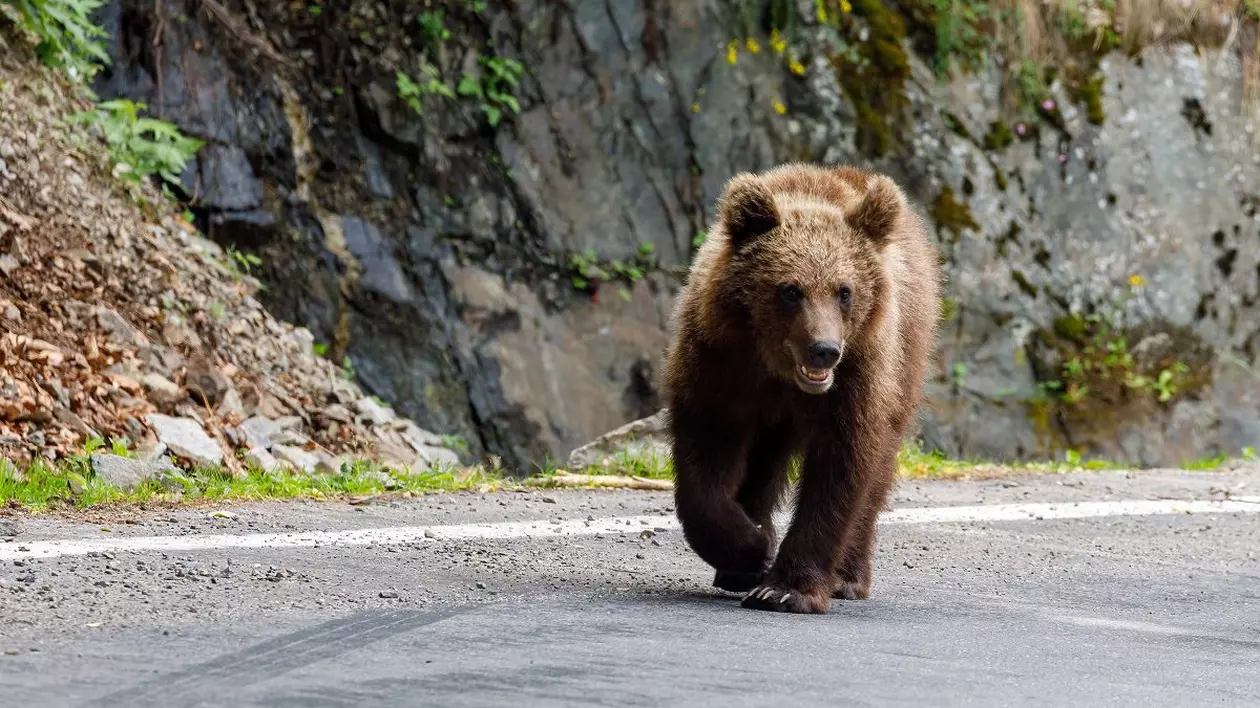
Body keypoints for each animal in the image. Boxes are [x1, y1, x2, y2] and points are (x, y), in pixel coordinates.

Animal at [665, 161, 942, 612]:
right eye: (790, 289)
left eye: (844, 291)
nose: (824, 350)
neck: (778, 370)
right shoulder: (719, 363)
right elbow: (705, 455)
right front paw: (752, 547)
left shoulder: (856, 379)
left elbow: (841, 468)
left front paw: (785, 588)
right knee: (762, 462)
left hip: (905, 361)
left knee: (877, 473)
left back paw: (848, 577)